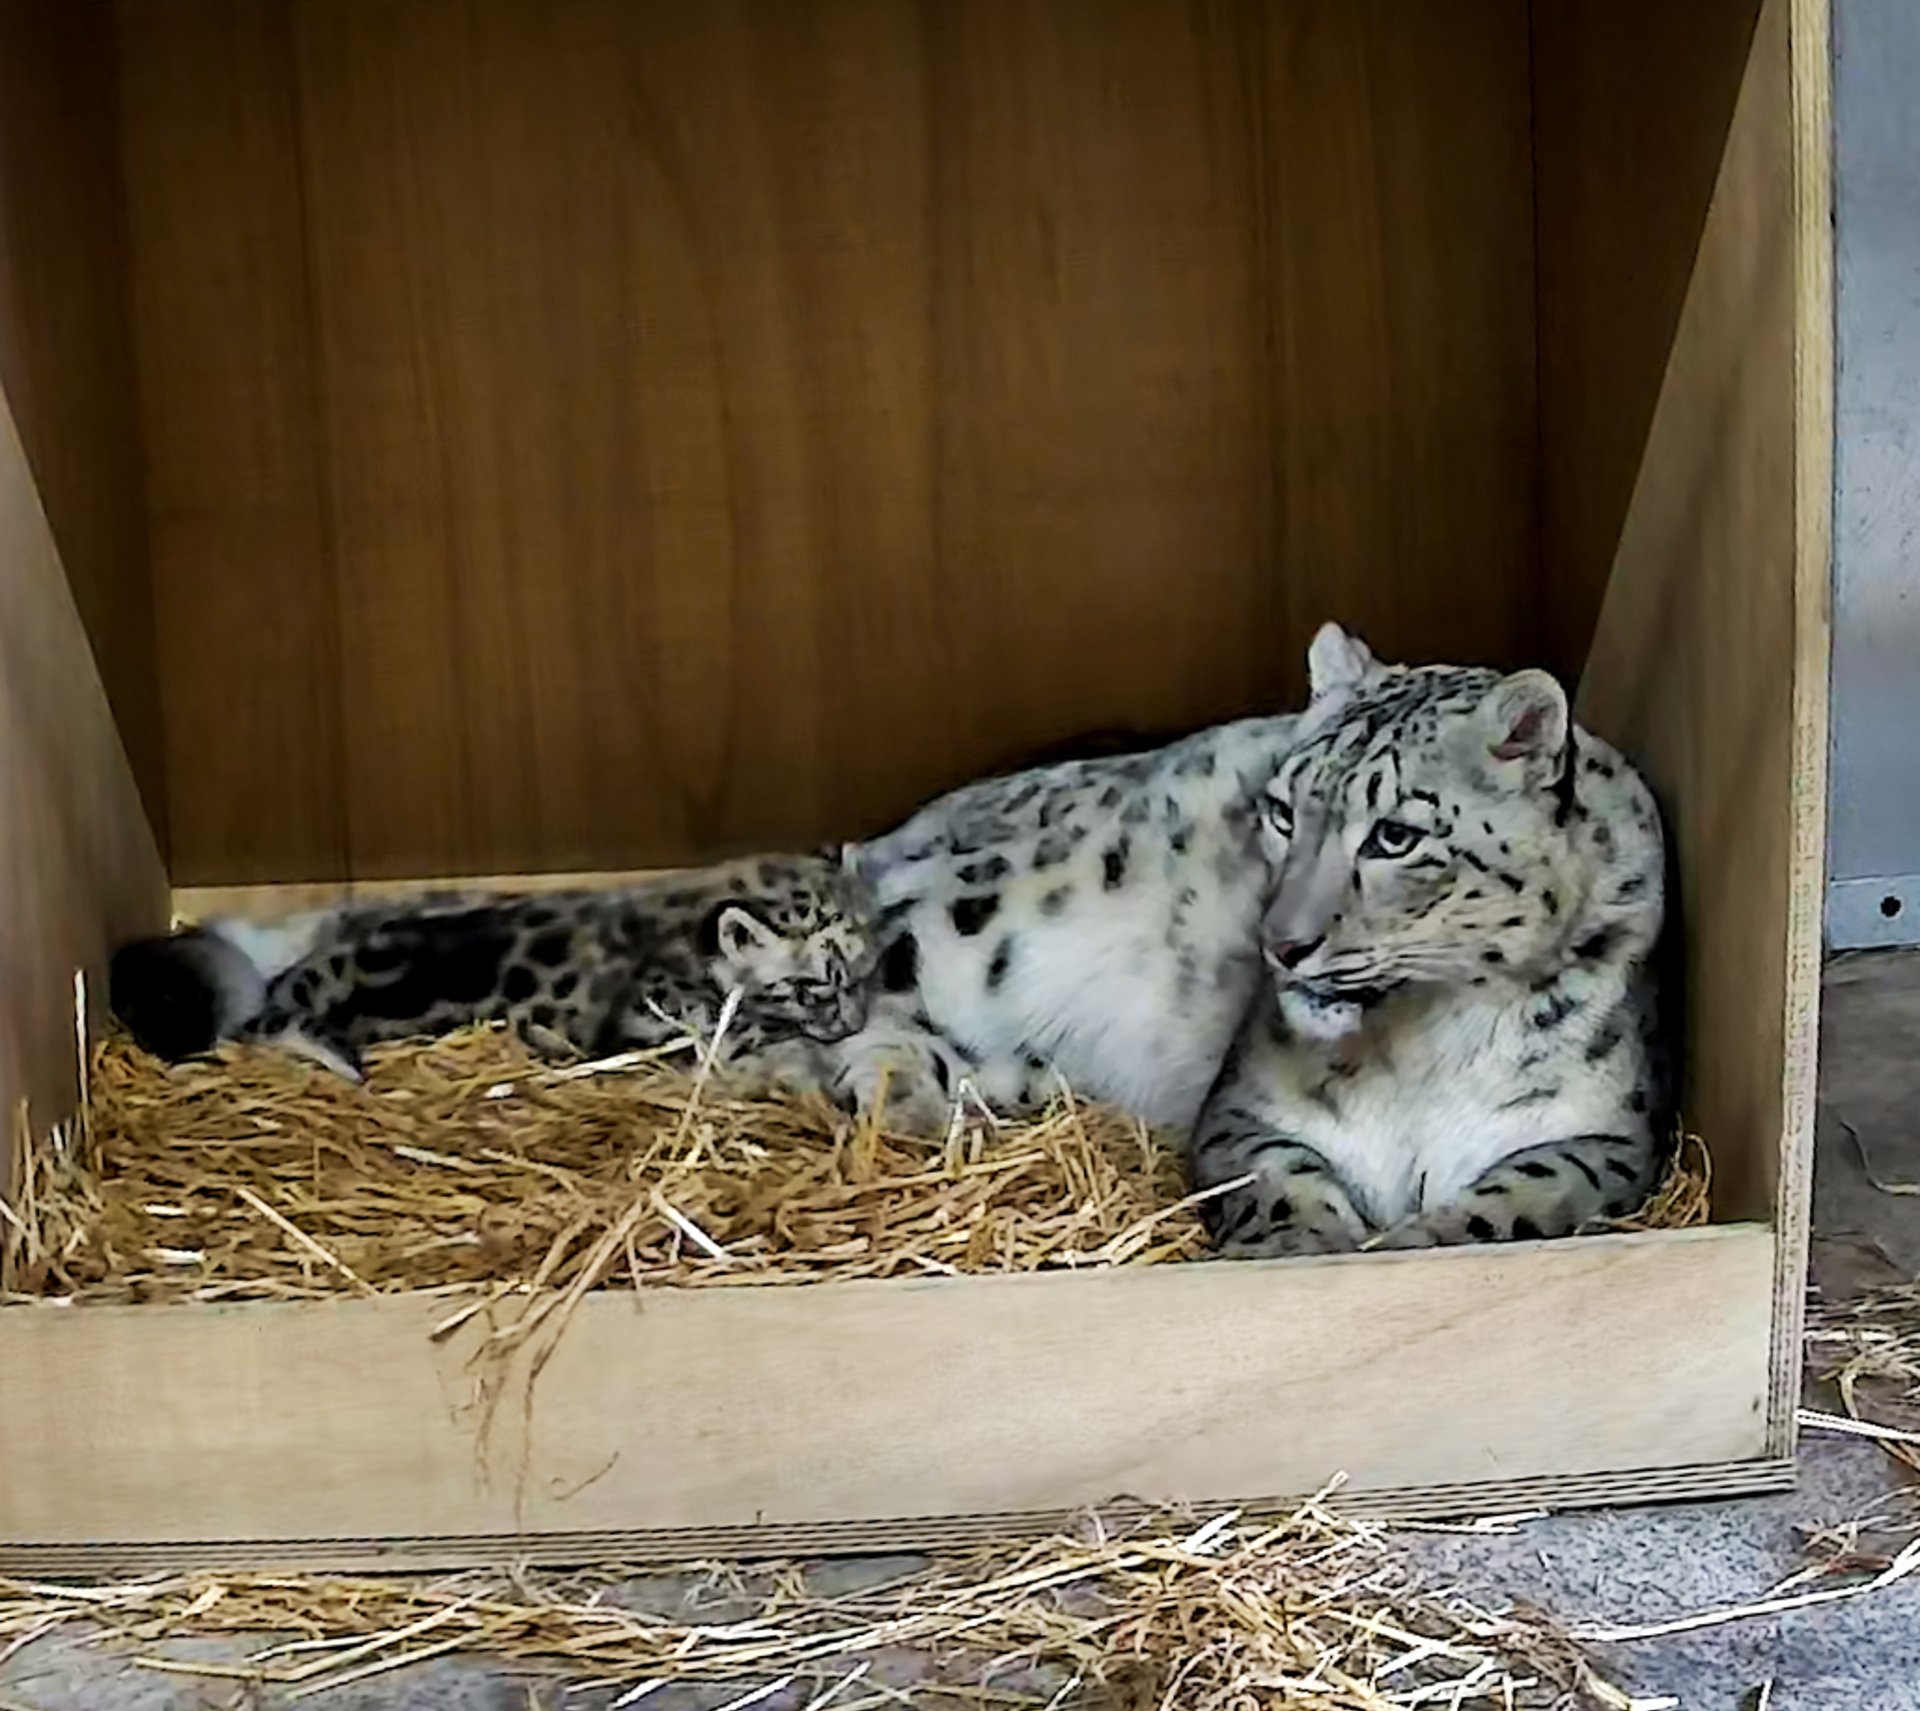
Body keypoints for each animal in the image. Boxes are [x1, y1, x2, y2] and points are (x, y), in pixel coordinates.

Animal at [1188, 624, 1673, 1257]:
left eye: (1395, 836)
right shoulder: (1242, 1109)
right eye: (1282, 813)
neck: (1418, 1051)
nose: (1283, 944)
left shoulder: (1603, 1132)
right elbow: (1273, 1176)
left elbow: (1523, 1193)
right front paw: (1295, 1247)